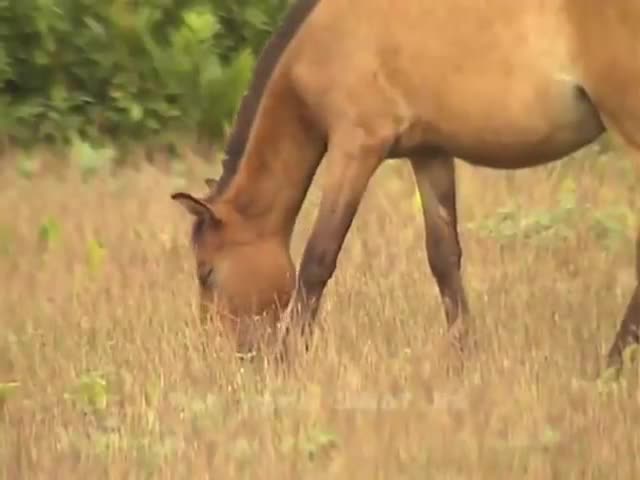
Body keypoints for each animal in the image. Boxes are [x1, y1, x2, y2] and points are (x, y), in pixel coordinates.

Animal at [171, 0, 640, 372]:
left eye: (207, 273)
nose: (218, 355)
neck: (324, 37)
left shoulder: (356, 147)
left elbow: (318, 259)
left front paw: (289, 358)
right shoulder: (430, 153)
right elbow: (444, 258)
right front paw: (463, 358)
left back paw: (613, 364)